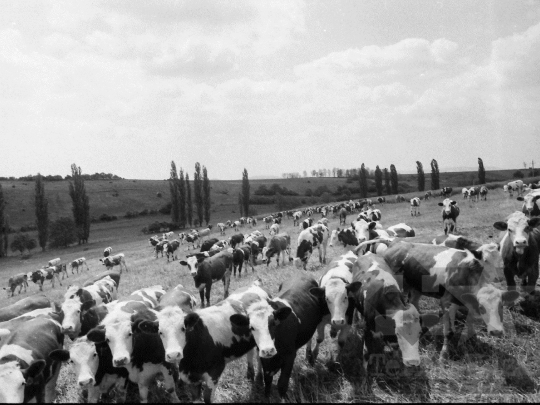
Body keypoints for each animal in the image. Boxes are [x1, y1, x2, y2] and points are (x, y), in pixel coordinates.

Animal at [382, 240, 520, 356]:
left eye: (501, 306)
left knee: (414, 302)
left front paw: (473, 340)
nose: (497, 332)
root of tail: (395, 242)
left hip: (417, 287)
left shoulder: (466, 302)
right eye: (482, 307)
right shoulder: (446, 302)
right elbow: (448, 332)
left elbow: (469, 322)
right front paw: (444, 354)